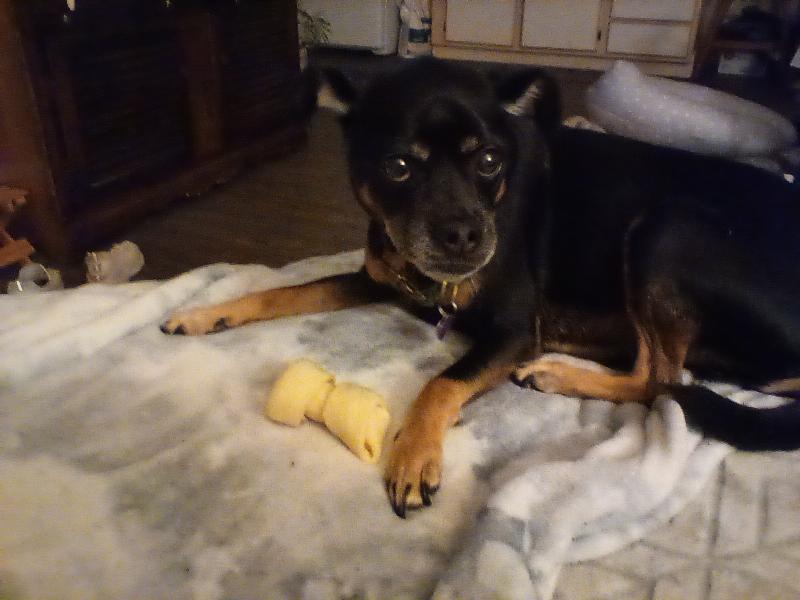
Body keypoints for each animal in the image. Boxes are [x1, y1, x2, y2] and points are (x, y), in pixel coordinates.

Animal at [162, 58, 800, 518]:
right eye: (398, 166)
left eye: (490, 160)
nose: (465, 236)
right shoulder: (379, 281)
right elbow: (286, 291)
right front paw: (204, 314)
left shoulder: (513, 332)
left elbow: (441, 383)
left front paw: (413, 455)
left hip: (668, 227)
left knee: (661, 379)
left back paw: (557, 372)